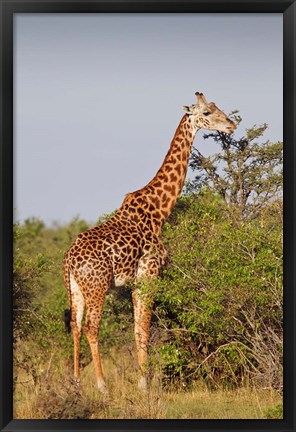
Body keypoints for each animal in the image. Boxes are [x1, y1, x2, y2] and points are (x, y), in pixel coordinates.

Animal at [63, 92, 237, 394]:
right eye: (206, 112)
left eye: (219, 108)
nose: (231, 125)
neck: (159, 211)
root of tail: (71, 260)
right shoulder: (150, 273)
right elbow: (144, 328)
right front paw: (144, 383)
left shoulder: (136, 281)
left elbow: (137, 329)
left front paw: (142, 379)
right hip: (97, 287)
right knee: (92, 327)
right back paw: (102, 385)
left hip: (75, 288)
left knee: (75, 326)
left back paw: (76, 383)